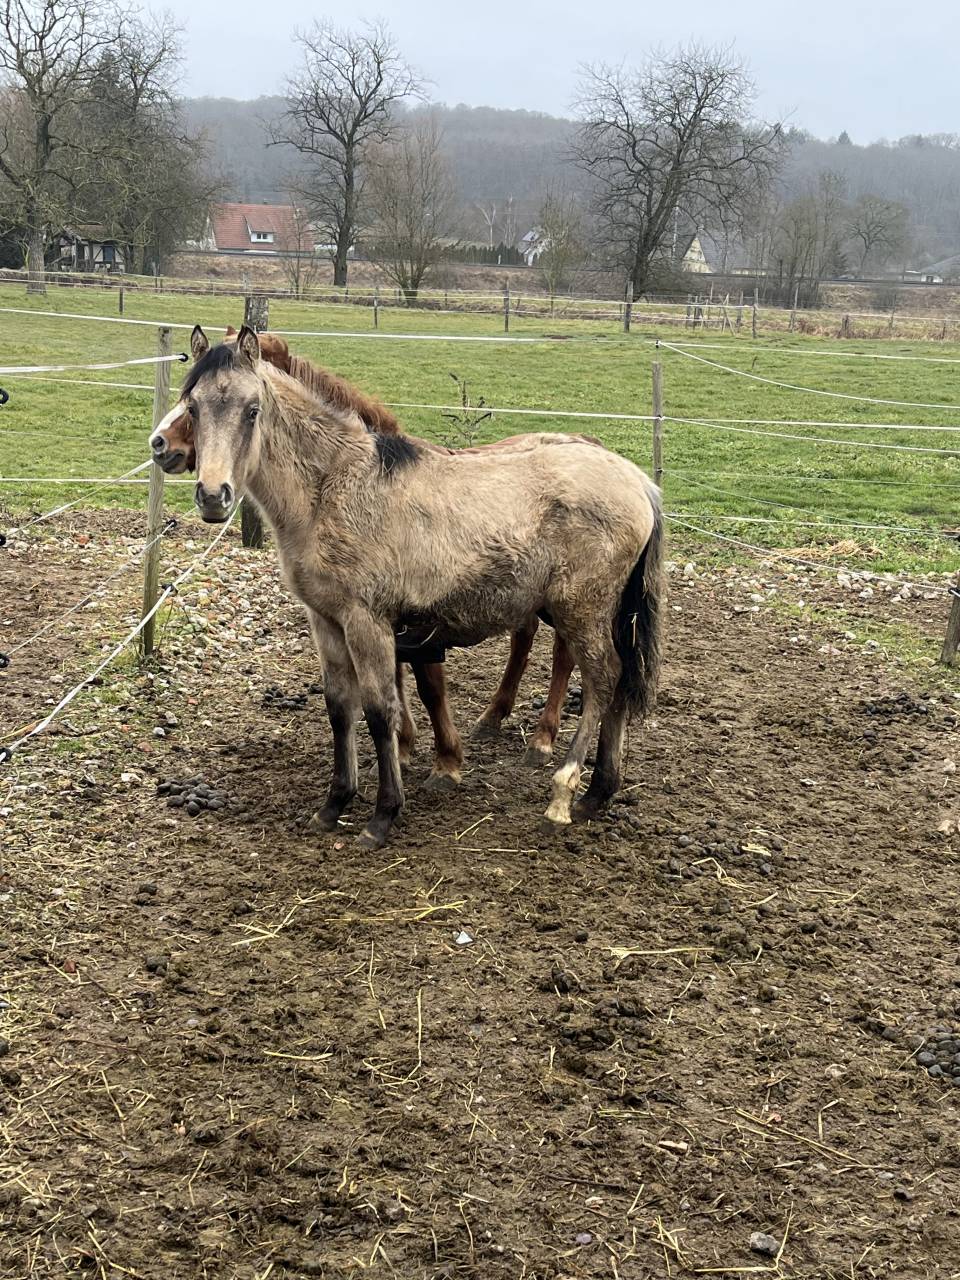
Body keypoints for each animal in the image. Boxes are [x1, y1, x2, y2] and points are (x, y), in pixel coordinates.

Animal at [158, 325, 664, 849]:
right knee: (618, 678)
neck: (332, 488)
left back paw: (563, 794)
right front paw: (334, 805)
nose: (213, 496)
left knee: (603, 677)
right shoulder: (327, 621)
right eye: (193, 407)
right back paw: (597, 794)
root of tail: (640, 482)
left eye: (252, 409)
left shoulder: (369, 621)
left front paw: (382, 816)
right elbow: (341, 707)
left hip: (581, 610)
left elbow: (382, 710)